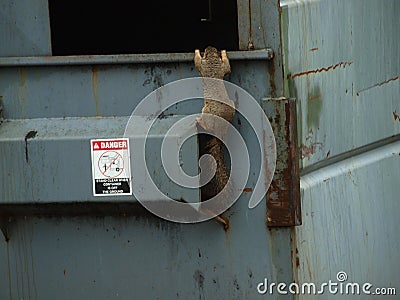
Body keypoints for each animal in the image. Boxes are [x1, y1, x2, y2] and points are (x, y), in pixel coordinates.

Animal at [193, 47, 234, 206]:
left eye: (206, 51)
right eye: (212, 50)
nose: (209, 47)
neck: (212, 60)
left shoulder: (202, 66)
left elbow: (197, 62)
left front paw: (196, 51)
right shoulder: (222, 67)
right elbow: (227, 65)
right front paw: (224, 52)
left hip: (207, 111)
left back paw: (198, 120)